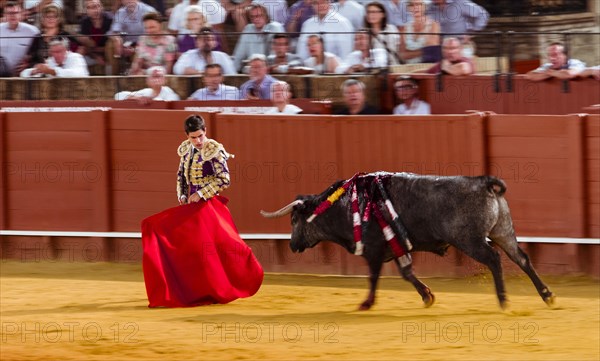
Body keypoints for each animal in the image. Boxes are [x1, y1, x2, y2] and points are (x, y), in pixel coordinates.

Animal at [260, 172, 556, 310]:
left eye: (294, 220)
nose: (292, 245)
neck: (343, 206)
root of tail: (483, 182)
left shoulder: (374, 251)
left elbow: (374, 277)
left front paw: (366, 303)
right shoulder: (396, 247)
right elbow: (407, 273)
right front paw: (428, 296)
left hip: (470, 240)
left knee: (495, 259)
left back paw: (504, 300)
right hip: (503, 231)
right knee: (522, 258)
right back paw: (547, 295)